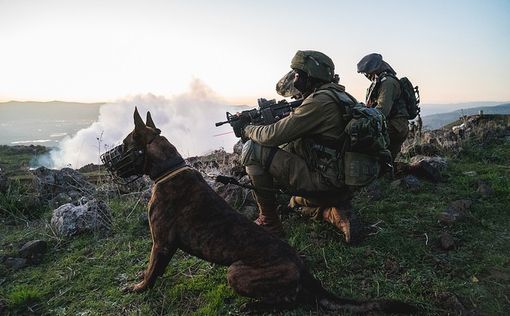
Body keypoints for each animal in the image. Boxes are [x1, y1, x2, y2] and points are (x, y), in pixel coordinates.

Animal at [112, 108, 414, 314]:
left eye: (126, 144)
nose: (108, 162)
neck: (169, 167)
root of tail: (303, 268)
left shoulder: (161, 244)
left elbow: (151, 271)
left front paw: (138, 288)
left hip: (235, 272)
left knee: (287, 301)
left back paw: (253, 307)